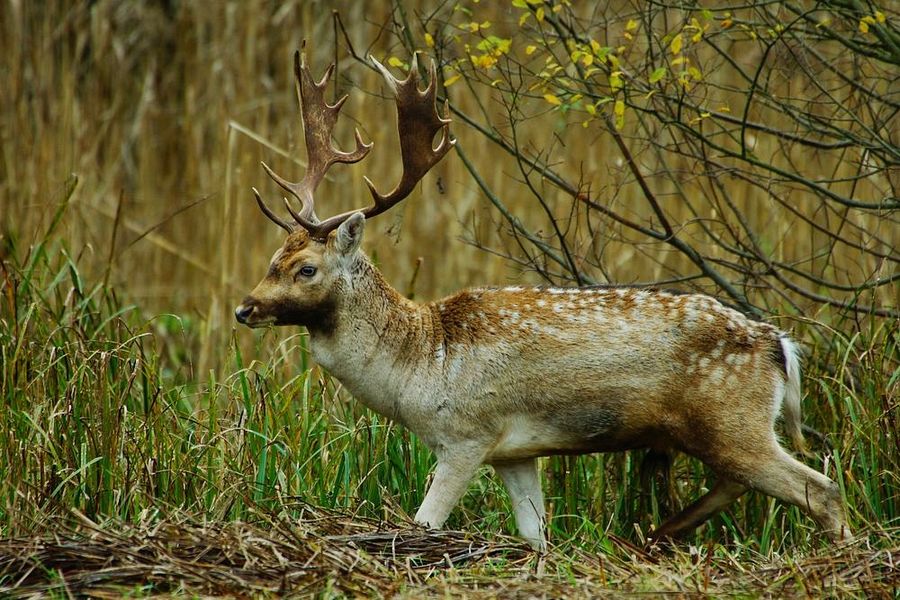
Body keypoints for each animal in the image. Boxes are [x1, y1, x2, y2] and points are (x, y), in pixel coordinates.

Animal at [232, 49, 852, 552]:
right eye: (271, 259)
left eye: (306, 268)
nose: (245, 308)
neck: (419, 362)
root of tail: (779, 345)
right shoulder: (515, 452)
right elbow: (535, 534)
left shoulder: (467, 434)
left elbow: (425, 522)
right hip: (722, 428)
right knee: (741, 483)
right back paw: (658, 533)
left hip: (731, 418)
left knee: (819, 487)